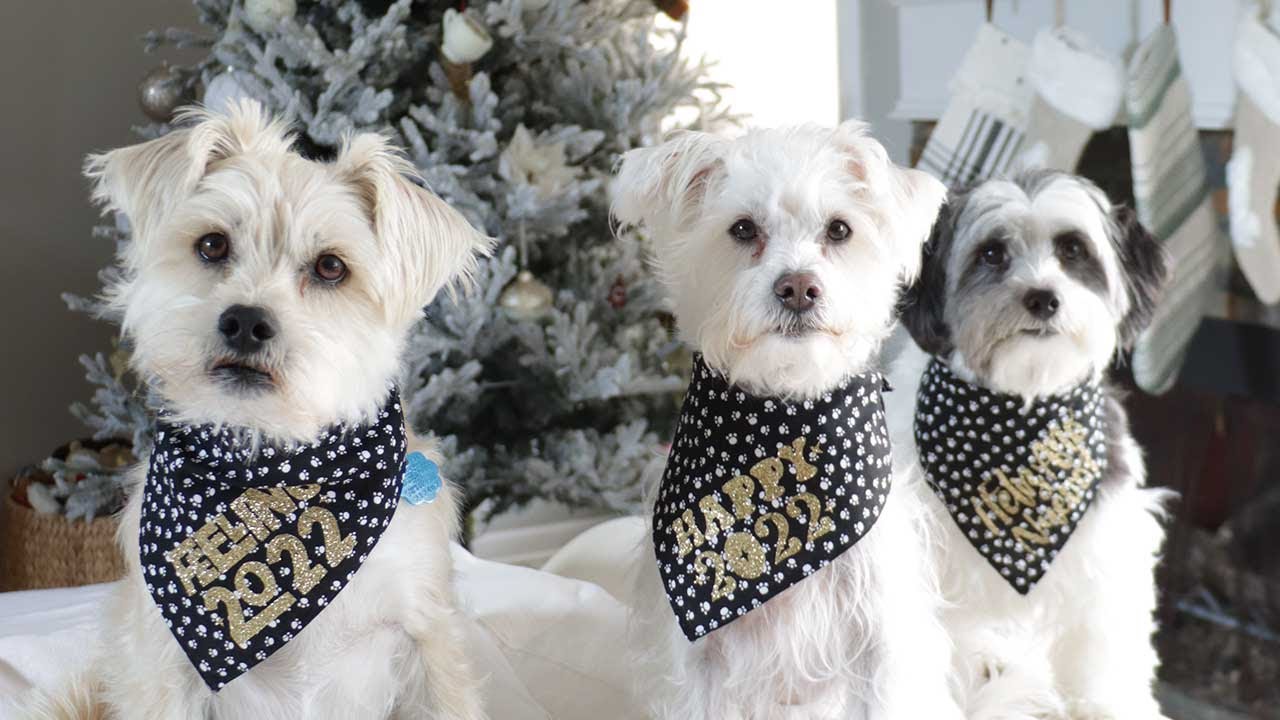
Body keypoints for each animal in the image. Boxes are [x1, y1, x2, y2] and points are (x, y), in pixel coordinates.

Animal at [30, 101, 491, 717]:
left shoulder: (427, 631)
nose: (245, 322)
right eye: (212, 245)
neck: (269, 467)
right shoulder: (159, 662)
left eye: (330, 267)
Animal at [614, 122, 962, 717]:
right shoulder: (696, 663)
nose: (798, 287)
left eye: (840, 229)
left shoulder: (880, 642)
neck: (783, 410)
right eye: (742, 228)